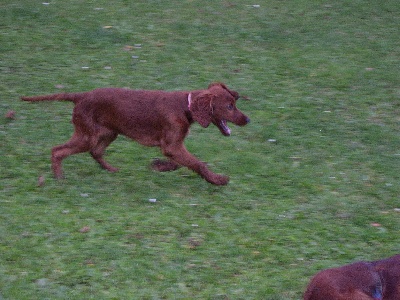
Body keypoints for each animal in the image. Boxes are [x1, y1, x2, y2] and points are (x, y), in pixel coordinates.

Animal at [21, 82, 250, 185]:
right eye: (229, 106)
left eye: (234, 103)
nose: (247, 120)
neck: (185, 107)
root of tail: (81, 95)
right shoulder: (172, 145)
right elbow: (198, 163)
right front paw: (217, 180)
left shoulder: (173, 146)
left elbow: (182, 162)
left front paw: (160, 166)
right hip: (87, 136)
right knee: (57, 150)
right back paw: (59, 177)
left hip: (108, 133)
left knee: (96, 152)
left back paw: (111, 170)